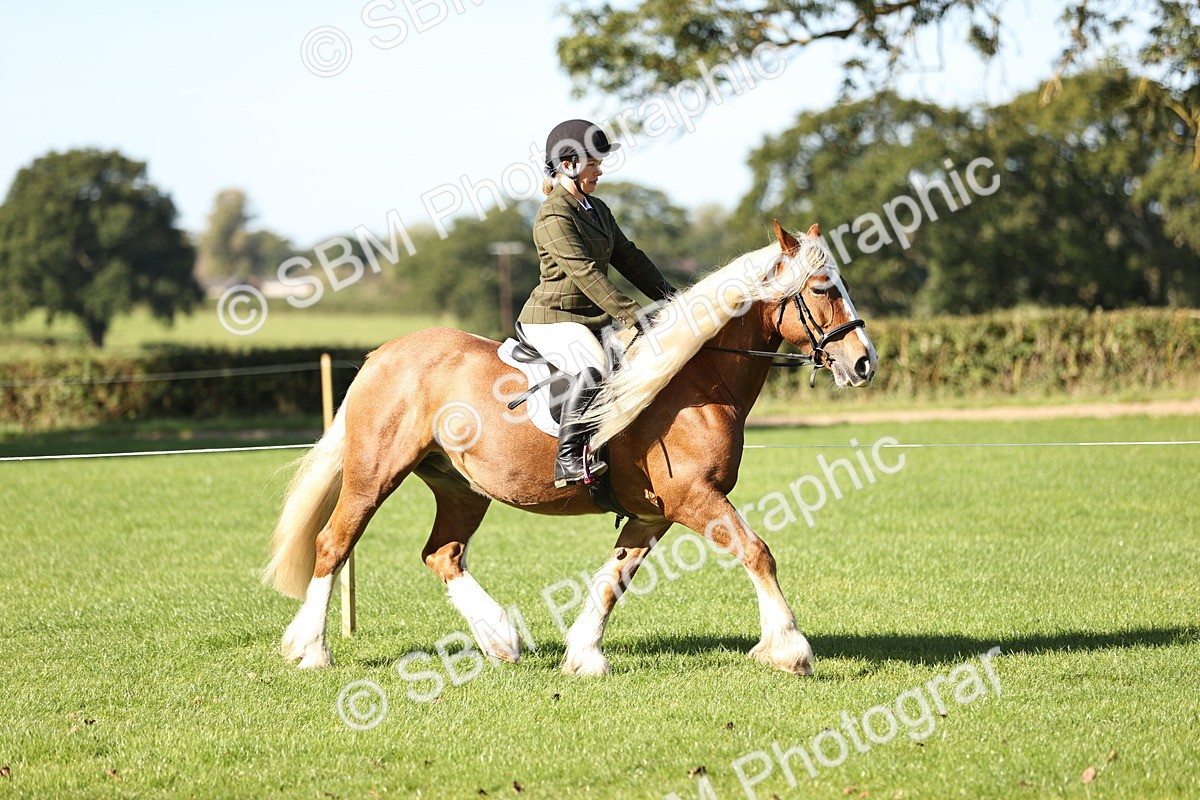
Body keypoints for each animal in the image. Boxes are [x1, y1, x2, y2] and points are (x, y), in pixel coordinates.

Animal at [262, 221, 877, 676]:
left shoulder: (653, 513)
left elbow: (613, 579)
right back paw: (313, 650)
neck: (695, 378)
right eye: (822, 288)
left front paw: (583, 655)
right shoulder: (693, 498)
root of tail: (383, 355)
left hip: (461, 487)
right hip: (373, 477)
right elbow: (757, 551)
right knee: (332, 545)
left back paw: (501, 641)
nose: (864, 363)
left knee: (443, 554)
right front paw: (790, 649)